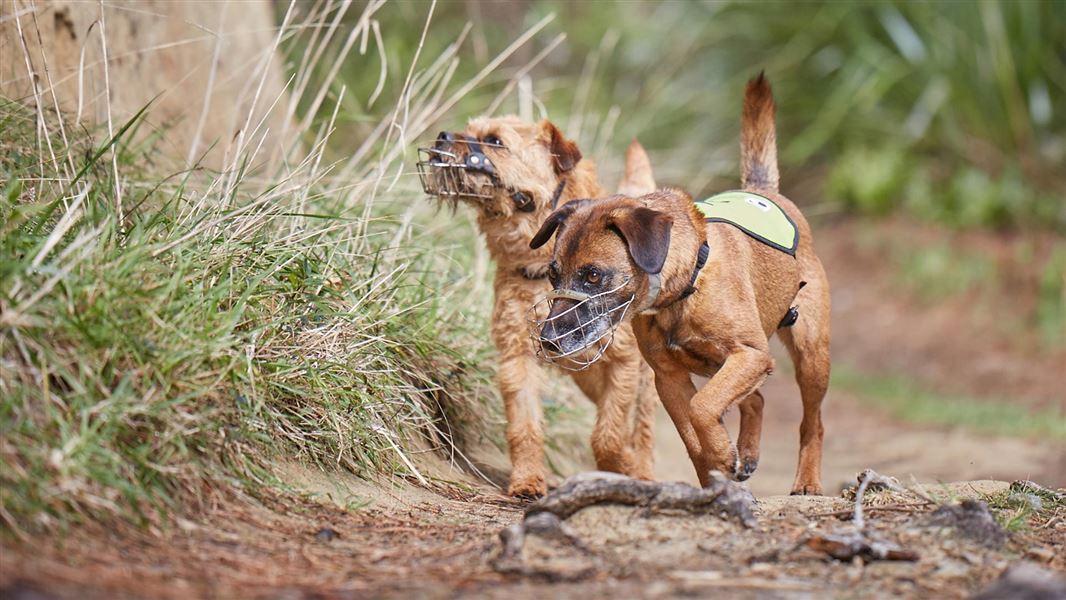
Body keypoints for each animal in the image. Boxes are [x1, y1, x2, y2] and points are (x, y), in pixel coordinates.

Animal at [415, 116, 656, 498]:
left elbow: (609, 434)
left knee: (644, 429)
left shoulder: (623, 362)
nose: (442, 136)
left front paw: (625, 466)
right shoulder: (518, 357)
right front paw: (527, 480)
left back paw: (643, 471)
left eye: (495, 141)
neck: (543, 267)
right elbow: (524, 426)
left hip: (645, 381)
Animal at [528, 75, 827, 494]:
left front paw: (722, 455)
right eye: (553, 274)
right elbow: (692, 434)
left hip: (811, 357)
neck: (685, 287)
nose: (549, 340)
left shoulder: (749, 354)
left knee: (812, 422)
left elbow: (703, 409)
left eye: (593, 275)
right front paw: (717, 474)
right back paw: (747, 454)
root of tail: (763, 190)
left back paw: (807, 481)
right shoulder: (668, 379)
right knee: (756, 401)